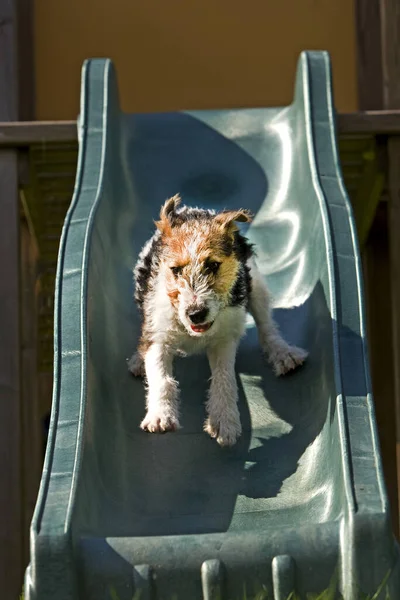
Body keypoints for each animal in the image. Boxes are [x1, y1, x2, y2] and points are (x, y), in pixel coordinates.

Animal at [128, 196, 306, 446]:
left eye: (213, 265)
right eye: (175, 270)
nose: (196, 313)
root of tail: (198, 209)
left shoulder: (224, 339)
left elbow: (224, 378)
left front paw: (224, 420)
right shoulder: (159, 336)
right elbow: (161, 378)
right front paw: (161, 415)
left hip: (255, 284)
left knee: (266, 326)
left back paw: (283, 353)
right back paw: (137, 359)